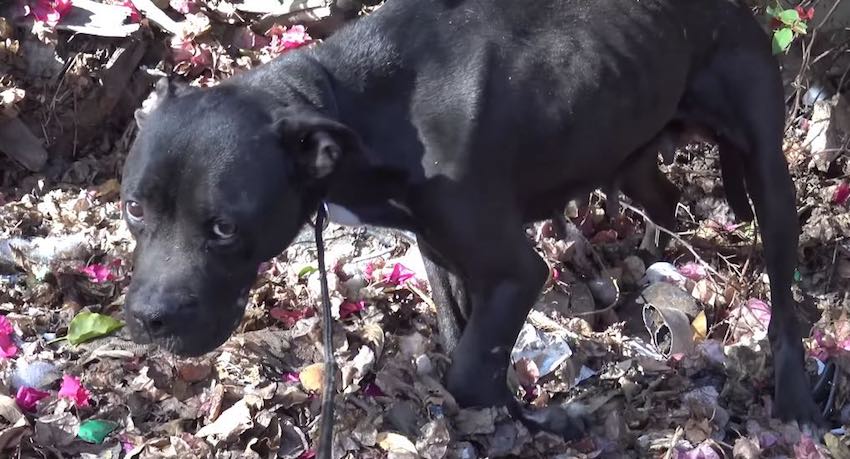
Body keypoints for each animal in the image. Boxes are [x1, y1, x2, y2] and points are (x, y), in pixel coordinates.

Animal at [122, 0, 820, 438]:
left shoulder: (515, 270)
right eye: (133, 208)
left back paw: (795, 399)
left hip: (768, 175)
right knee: (666, 197)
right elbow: (467, 345)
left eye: (224, 228)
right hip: (631, 149)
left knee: (785, 302)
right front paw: (518, 414)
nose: (147, 319)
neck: (348, 101)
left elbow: (465, 371)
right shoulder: (439, 250)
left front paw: (544, 421)